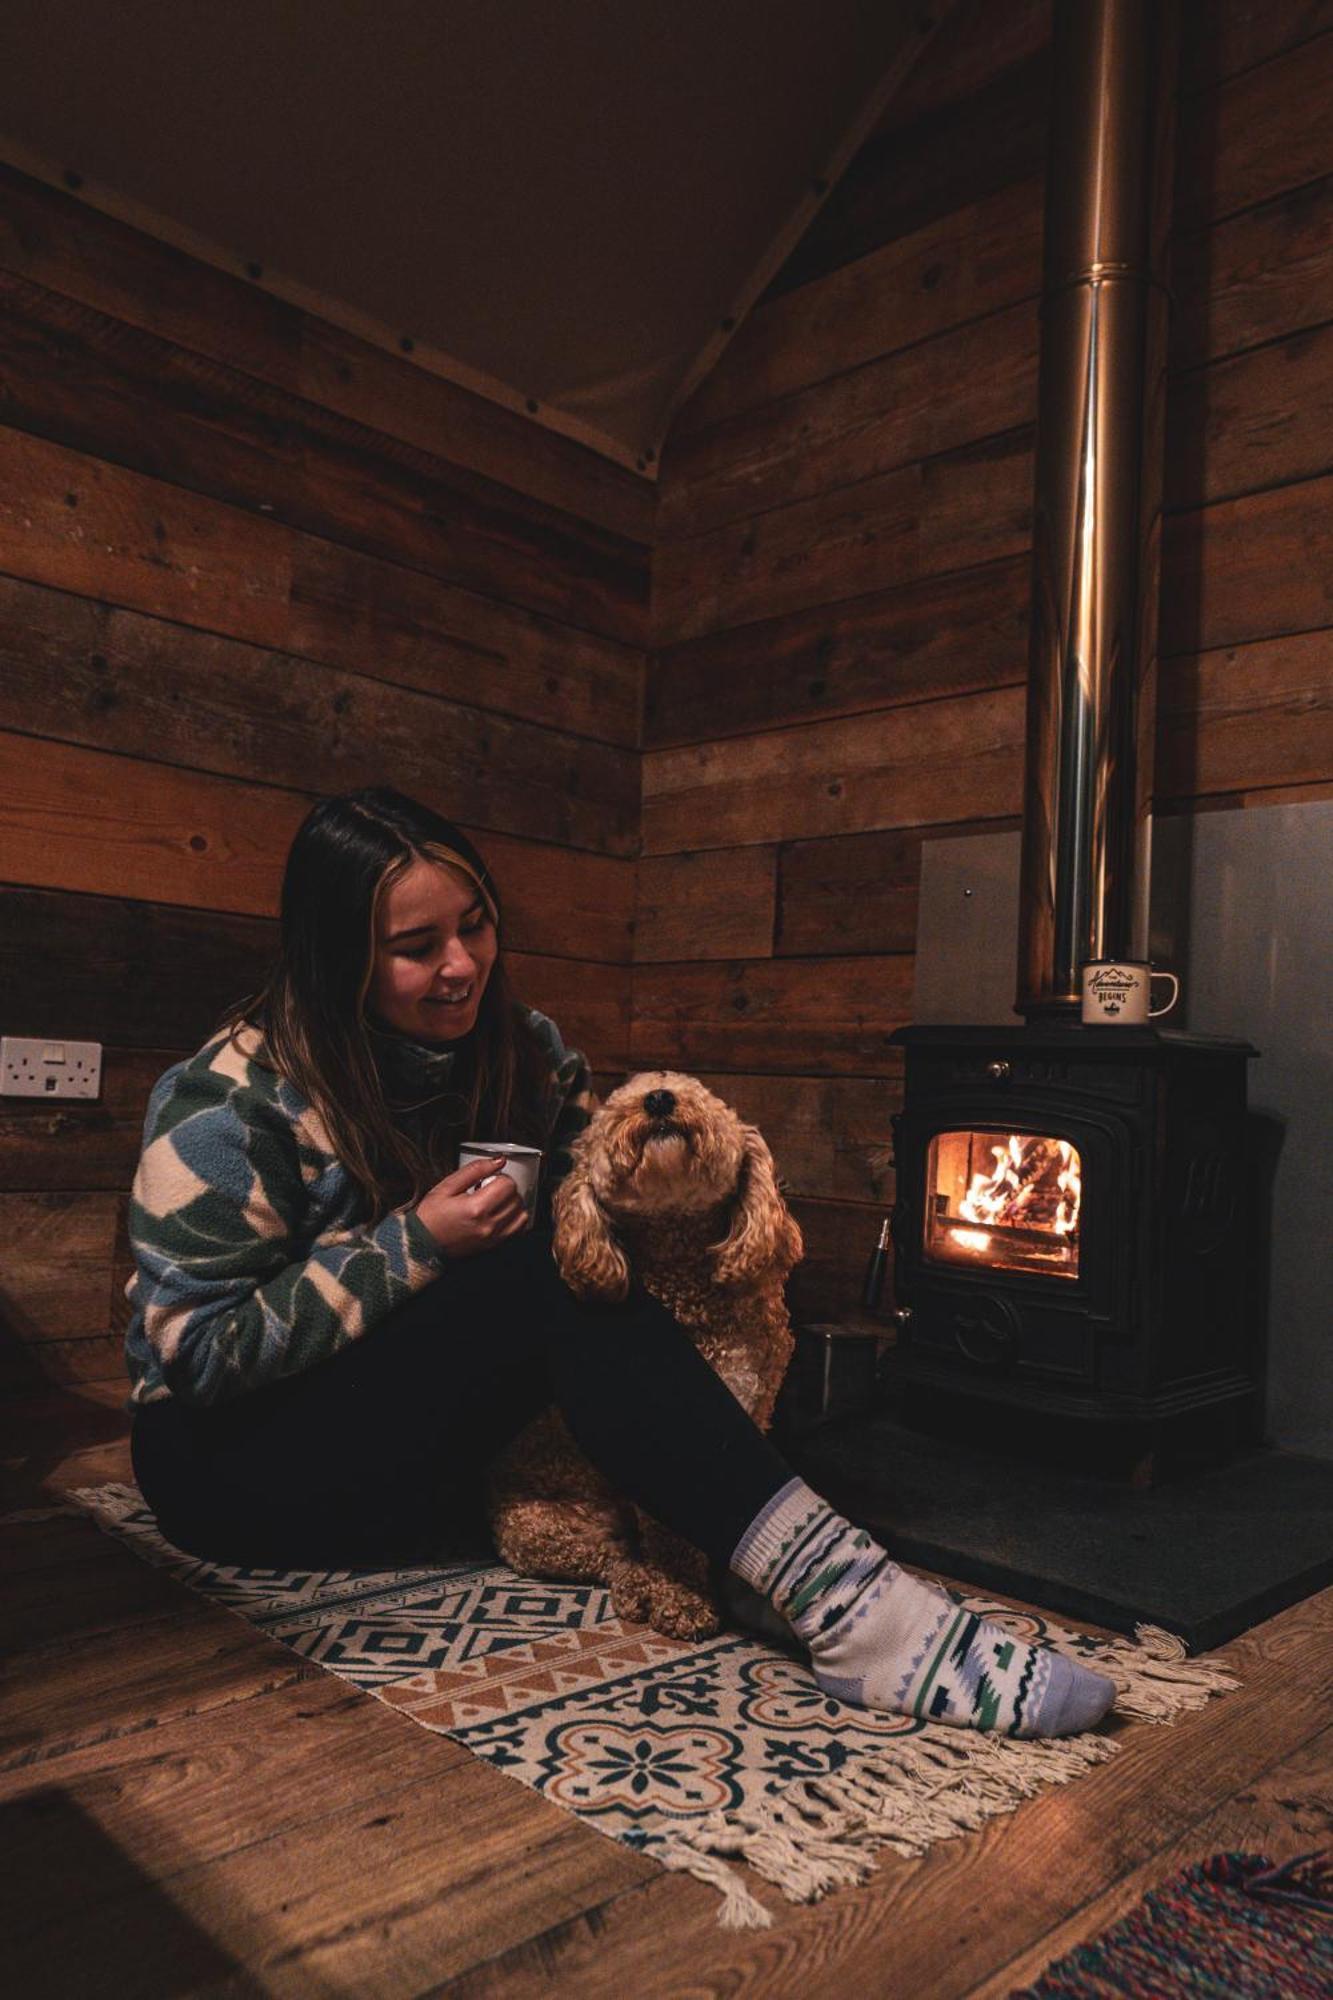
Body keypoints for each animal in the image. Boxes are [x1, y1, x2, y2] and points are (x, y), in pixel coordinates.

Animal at [488, 1072, 800, 1632]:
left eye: (699, 1092)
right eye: (621, 1101)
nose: (658, 1098)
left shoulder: (752, 1410)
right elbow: (671, 1537)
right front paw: (681, 1596)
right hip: (535, 1529)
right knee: (613, 1558)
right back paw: (640, 1587)